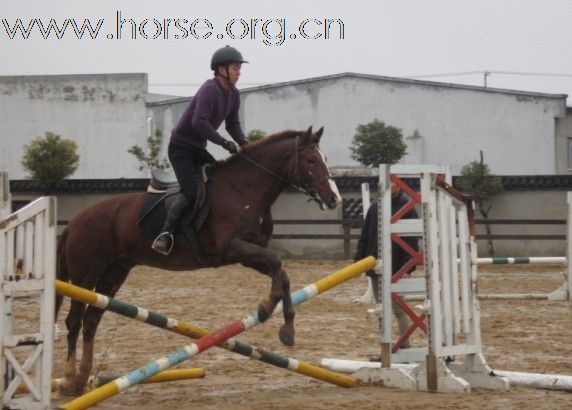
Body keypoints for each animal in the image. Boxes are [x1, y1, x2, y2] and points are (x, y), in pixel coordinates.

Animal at [54, 125, 340, 394]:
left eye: (325, 158)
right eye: (311, 161)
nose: (334, 199)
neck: (244, 190)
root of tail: (75, 221)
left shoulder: (247, 254)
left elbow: (280, 272)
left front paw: (283, 325)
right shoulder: (233, 248)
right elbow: (277, 264)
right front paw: (268, 310)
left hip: (114, 273)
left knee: (91, 319)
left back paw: (82, 377)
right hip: (86, 273)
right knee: (74, 320)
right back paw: (68, 379)